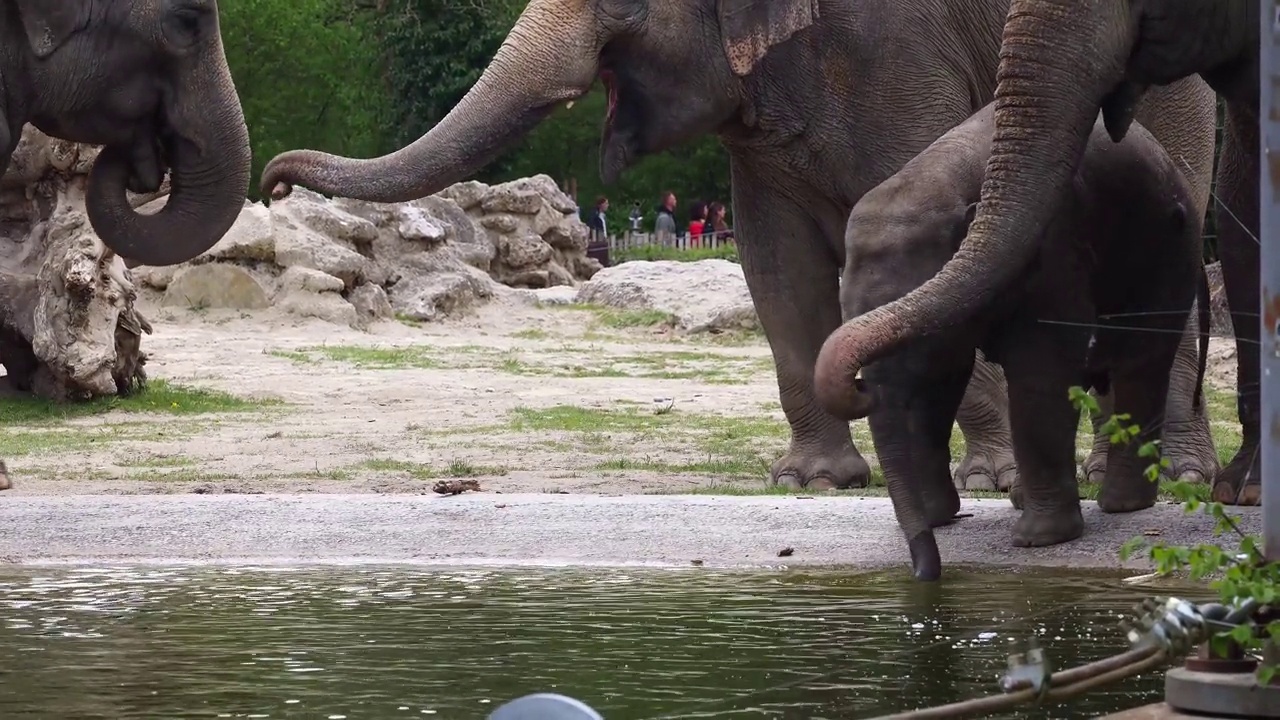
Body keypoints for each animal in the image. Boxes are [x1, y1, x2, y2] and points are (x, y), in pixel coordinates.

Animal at [262, 0, 1218, 491]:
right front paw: (813, 481)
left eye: (624, 5)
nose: (272, 182)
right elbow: (775, 266)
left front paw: (990, 480)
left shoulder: (898, 59)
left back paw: (1170, 475)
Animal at [819, 103, 1198, 579]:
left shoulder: (1053, 256)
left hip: (1170, 256)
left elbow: (1042, 372)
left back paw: (1121, 505)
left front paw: (1039, 540)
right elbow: (942, 383)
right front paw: (938, 518)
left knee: (1140, 364)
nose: (926, 575)